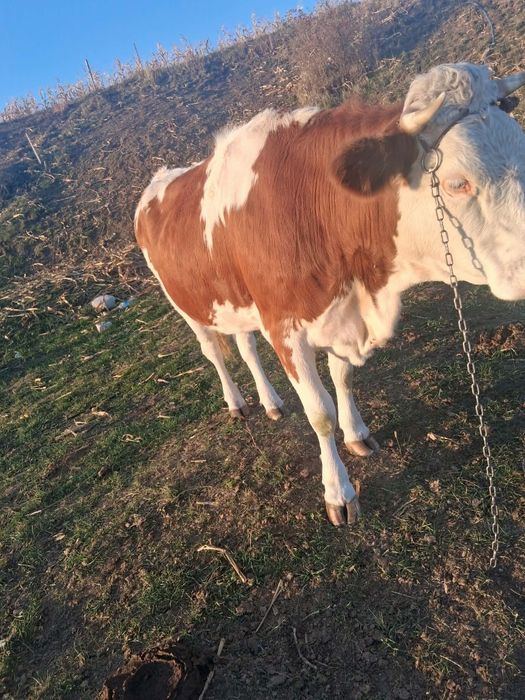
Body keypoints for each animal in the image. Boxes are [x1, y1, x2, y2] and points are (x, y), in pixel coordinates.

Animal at [135, 63, 525, 527]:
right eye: (458, 182)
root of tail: (158, 180)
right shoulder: (284, 327)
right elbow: (319, 413)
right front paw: (338, 491)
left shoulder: (344, 315)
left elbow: (344, 377)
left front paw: (356, 434)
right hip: (187, 306)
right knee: (214, 352)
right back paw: (237, 403)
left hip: (234, 300)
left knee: (246, 346)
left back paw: (270, 402)